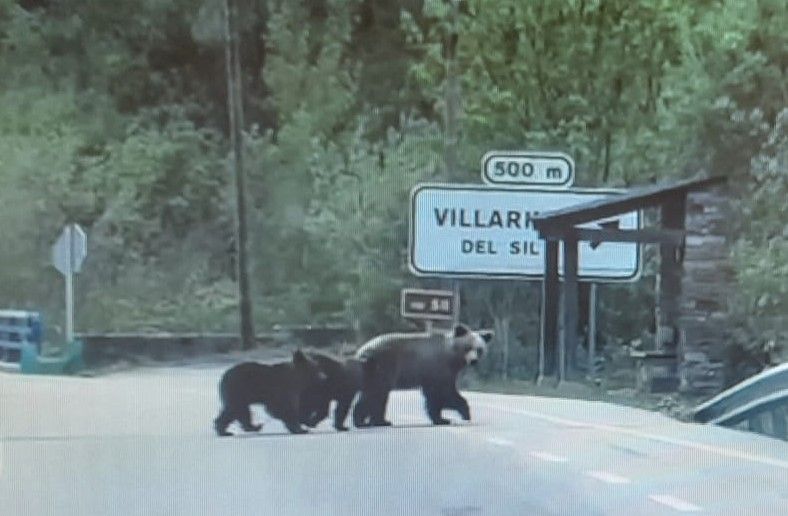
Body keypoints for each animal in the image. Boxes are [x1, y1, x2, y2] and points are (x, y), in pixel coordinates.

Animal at [352, 324, 493, 427]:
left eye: (479, 349)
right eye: (468, 347)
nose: (473, 361)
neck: (452, 357)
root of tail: (361, 352)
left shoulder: (435, 373)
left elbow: (435, 396)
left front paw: (441, 418)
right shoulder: (439, 367)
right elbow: (444, 392)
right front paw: (461, 414)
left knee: (374, 394)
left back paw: (369, 421)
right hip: (383, 366)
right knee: (377, 393)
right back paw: (374, 421)